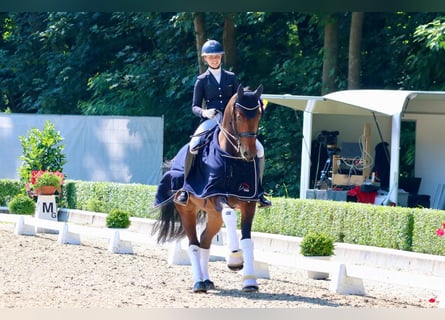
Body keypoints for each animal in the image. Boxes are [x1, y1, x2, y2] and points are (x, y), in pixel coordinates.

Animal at [153, 84, 264, 292]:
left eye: (259, 115)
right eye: (238, 116)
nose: (249, 153)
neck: (232, 158)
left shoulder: (249, 201)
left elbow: (247, 240)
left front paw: (250, 281)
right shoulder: (216, 194)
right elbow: (230, 214)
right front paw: (235, 260)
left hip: (213, 215)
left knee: (204, 241)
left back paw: (207, 280)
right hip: (187, 210)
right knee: (194, 244)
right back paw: (198, 283)